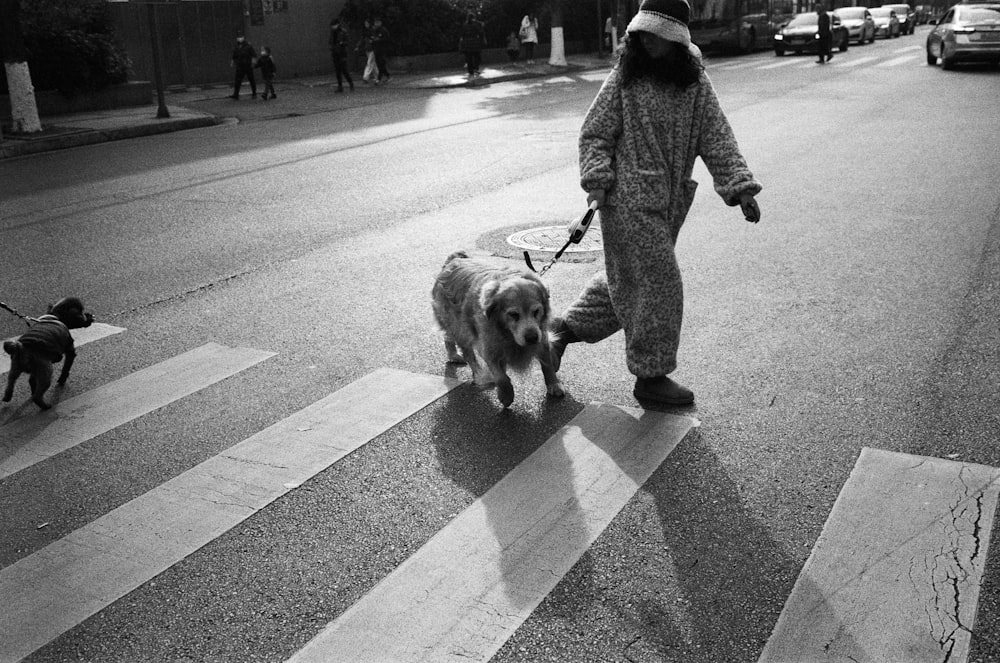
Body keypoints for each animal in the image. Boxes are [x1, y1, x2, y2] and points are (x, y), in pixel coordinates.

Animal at [436, 250, 568, 410]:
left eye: (536, 311)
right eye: (513, 314)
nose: (531, 338)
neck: (507, 333)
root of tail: (454, 259)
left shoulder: (542, 337)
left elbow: (547, 365)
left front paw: (554, 384)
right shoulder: (489, 347)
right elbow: (501, 377)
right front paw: (506, 395)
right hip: (460, 328)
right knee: (463, 349)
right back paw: (467, 366)